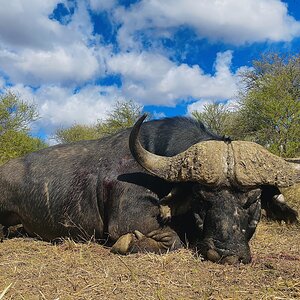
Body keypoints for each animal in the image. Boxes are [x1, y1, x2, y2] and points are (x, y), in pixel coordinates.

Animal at [0, 113, 300, 264]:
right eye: (201, 197)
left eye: (253, 200)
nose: (227, 254)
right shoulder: (130, 220)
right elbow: (173, 240)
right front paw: (128, 243)